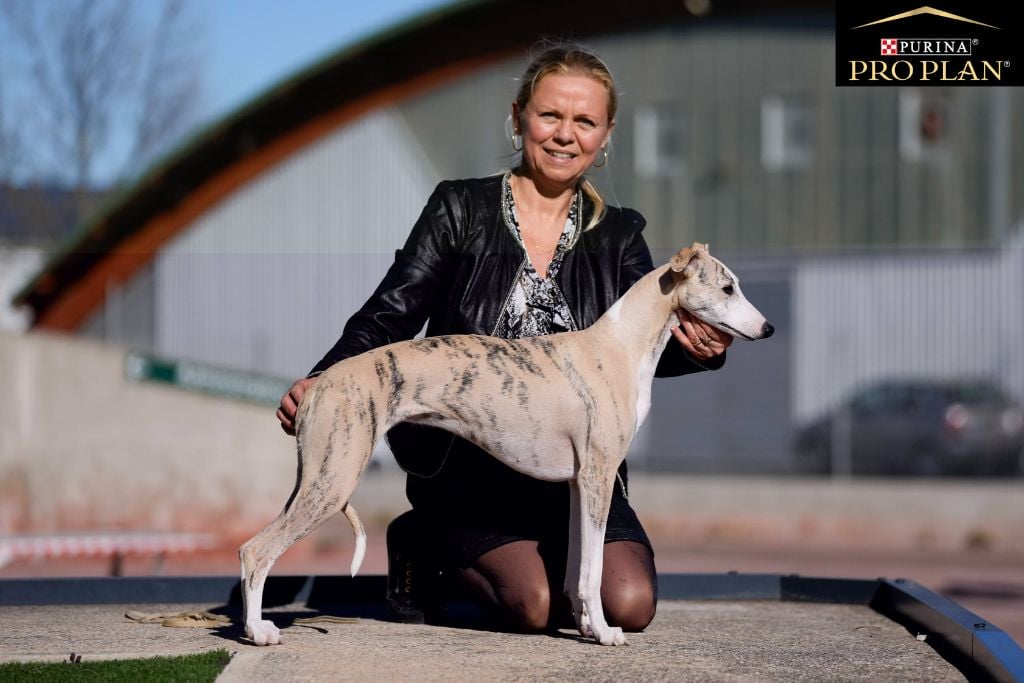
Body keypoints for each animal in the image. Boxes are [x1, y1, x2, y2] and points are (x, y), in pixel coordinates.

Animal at [241, 244, 774, 647]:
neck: (619, 346)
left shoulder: (580, 484)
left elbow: (577, 569)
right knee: (255, 551)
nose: (768, 328)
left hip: (316, 477)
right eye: (727, 287)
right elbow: (594, 571)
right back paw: (258, 631)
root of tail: (319, 386)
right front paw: (605, 633)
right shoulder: (599, 476)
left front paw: (586, 626)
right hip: (332, 480)